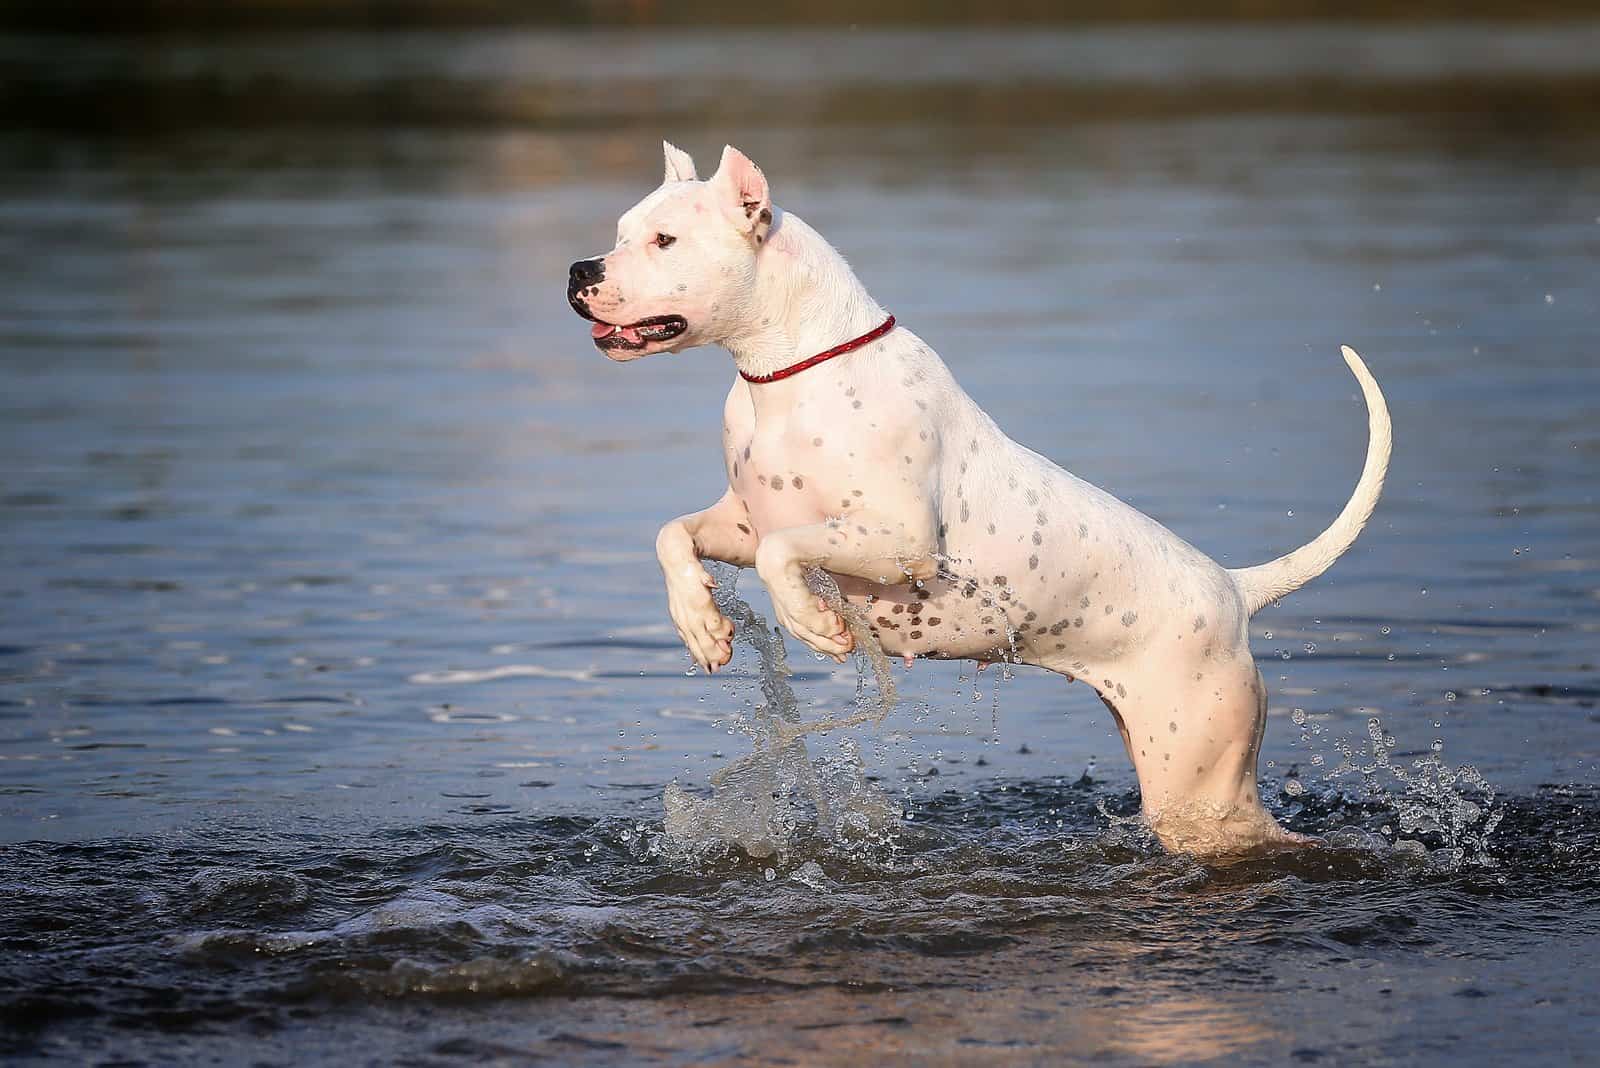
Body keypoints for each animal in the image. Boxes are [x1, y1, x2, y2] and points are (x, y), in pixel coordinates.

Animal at [572, 143, 1388, 856]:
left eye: (665, 240)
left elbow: (783, 554)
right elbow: (673, 534)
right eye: (619, 232)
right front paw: (701, 625)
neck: (791, 372)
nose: (580, 268)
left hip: (1202, 789)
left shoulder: (898, 541)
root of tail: (1234, 590)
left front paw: (812, 623)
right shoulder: (740, 521)